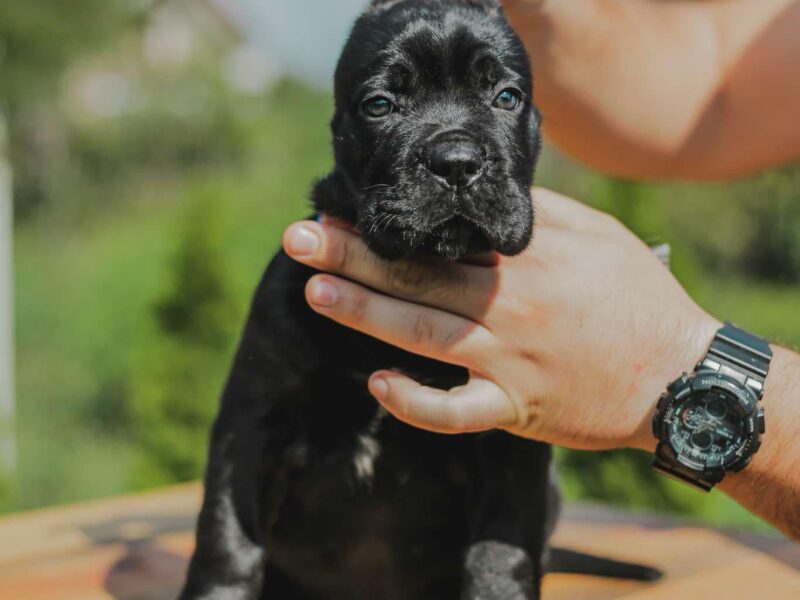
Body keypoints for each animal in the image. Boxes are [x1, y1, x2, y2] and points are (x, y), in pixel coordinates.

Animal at [180, 1, 656, 600]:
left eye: (507, 97)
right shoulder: (252, 421)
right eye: (380, 104)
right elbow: (228, 538)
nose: (456, 161)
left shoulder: (509, 440)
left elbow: (501, 547)